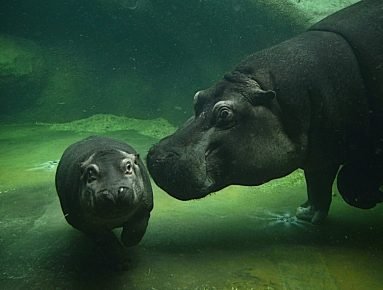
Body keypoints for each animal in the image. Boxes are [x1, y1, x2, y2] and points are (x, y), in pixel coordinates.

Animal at [146, 0, 382, 224]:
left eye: (225, 114)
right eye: (198, 97)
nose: (157, 156)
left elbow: (340, 183)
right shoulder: (320, 153)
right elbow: (317, 184)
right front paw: (306, 214)